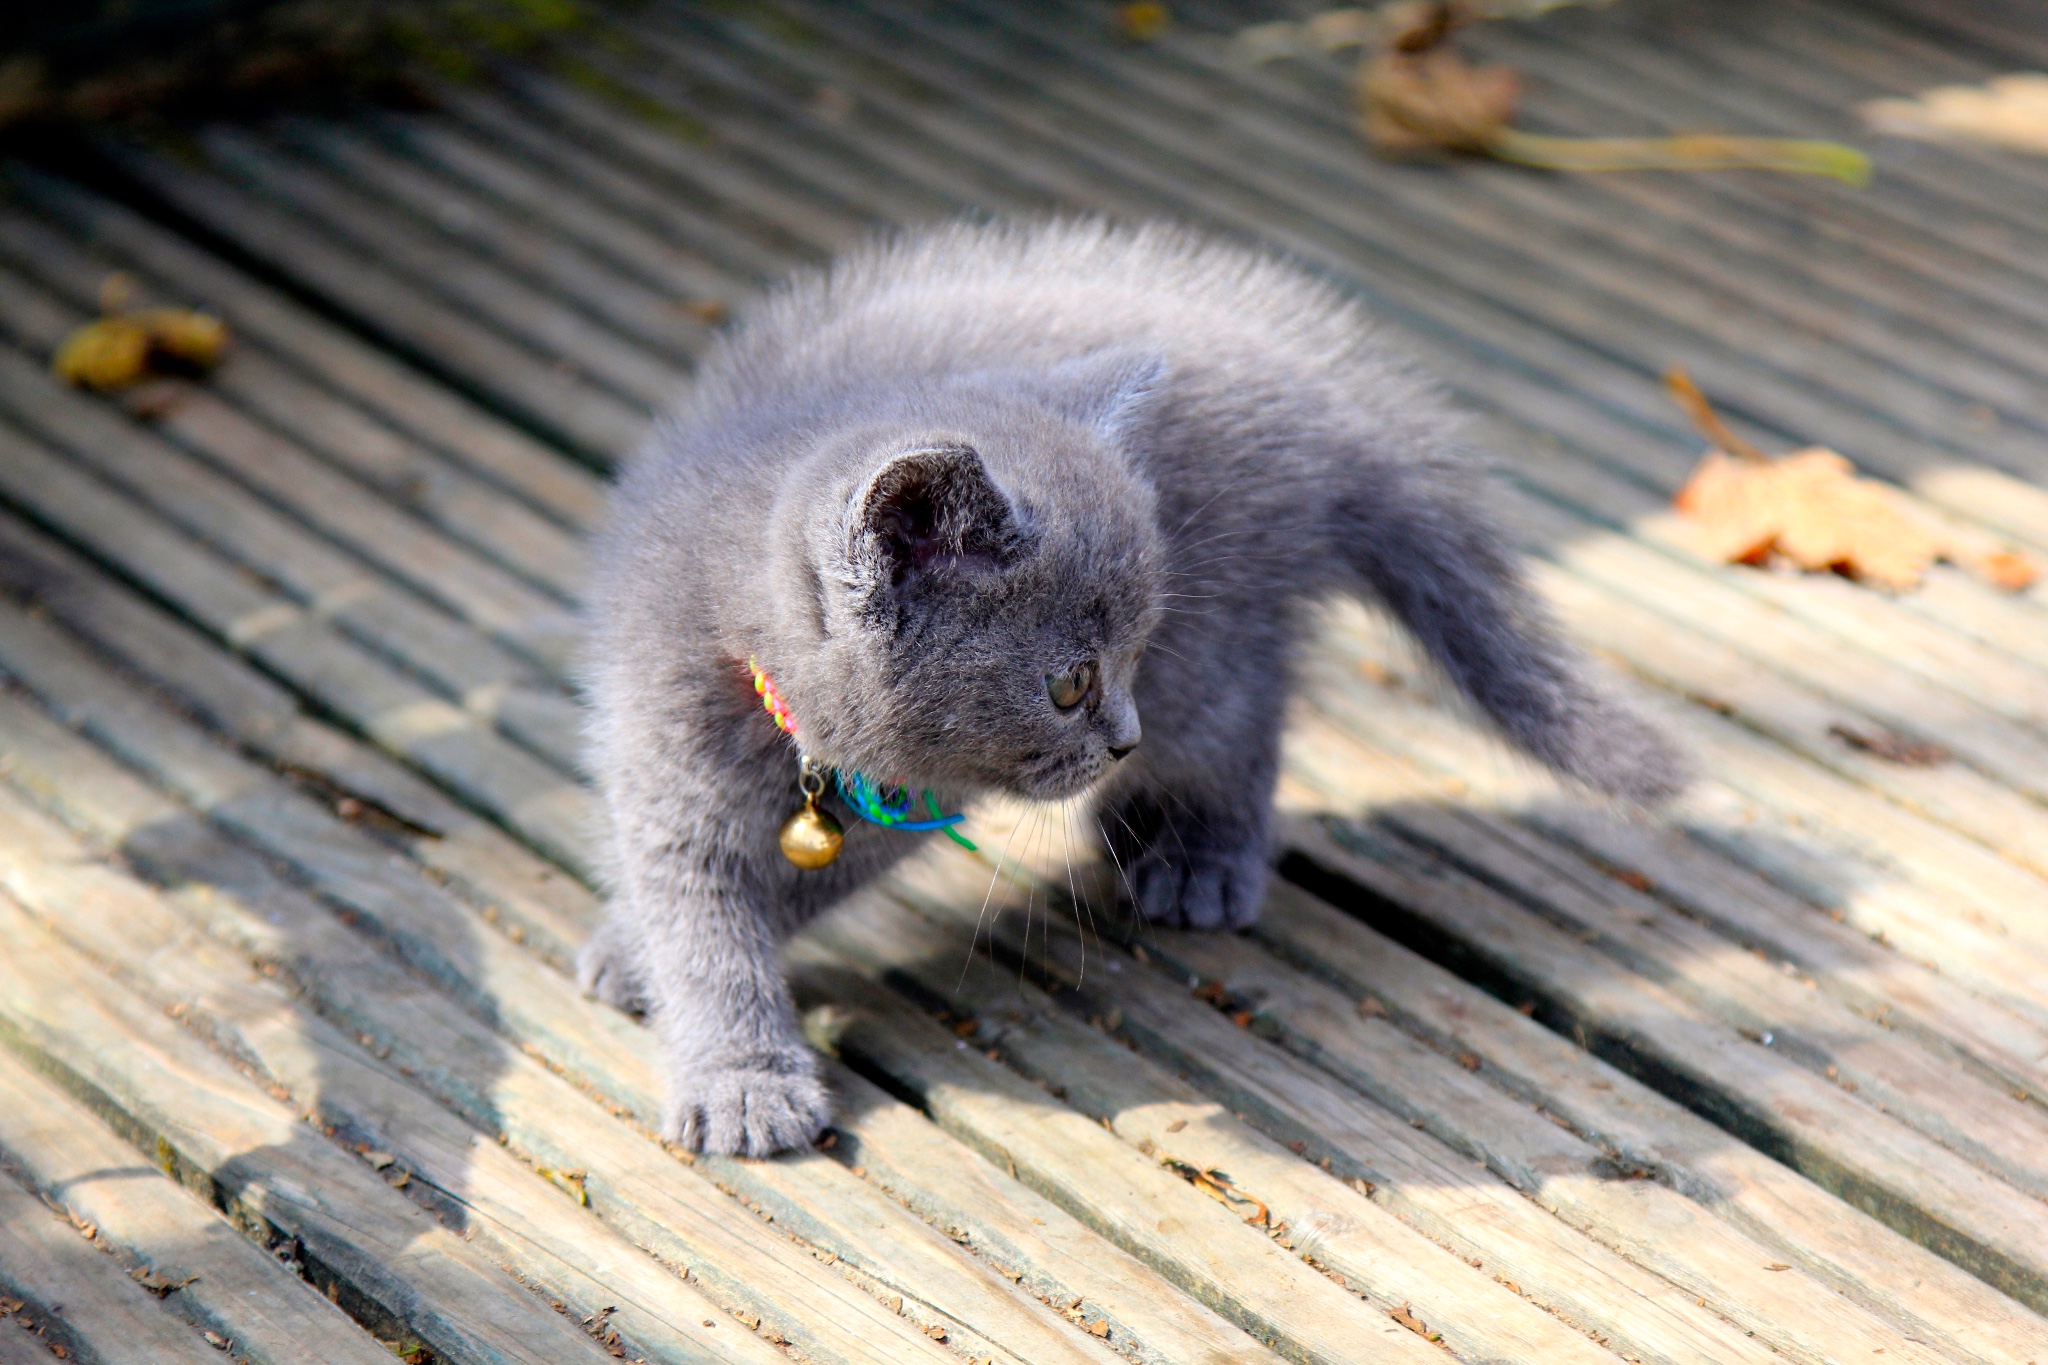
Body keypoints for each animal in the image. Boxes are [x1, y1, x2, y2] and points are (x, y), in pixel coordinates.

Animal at [585, 218, 1687, 1162]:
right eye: (1071, 681)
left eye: (1128, 654)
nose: (1122, 733)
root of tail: (1321, 405)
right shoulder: (658, 744)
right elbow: (699, 917)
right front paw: (695, 1013)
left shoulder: (924, 792)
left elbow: (784, 890)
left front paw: (732, 1069)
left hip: (1217, 643)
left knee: (1245, 718)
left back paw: (1198, 855)